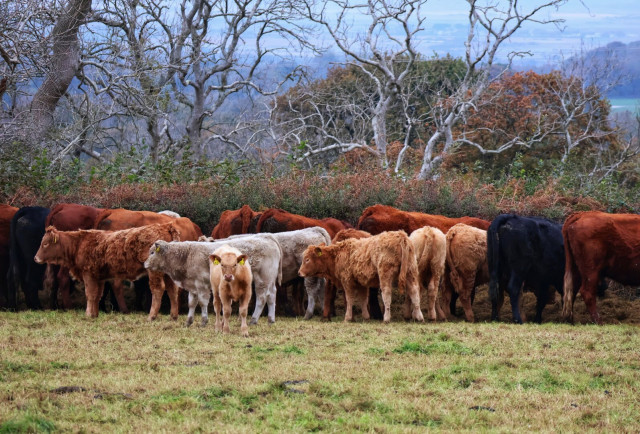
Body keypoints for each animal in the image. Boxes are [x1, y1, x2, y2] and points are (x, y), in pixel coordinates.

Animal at [34, 223, 182, 319]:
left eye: (45, 244)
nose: (36, 258)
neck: (79, 244)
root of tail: (166, 226)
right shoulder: (99, 277)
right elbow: (97, 295)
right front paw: (94, 314)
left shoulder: (88, 274)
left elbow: (90, 294)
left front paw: (88, 314)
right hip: (167, 273)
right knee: (172, 289)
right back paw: (173, 316)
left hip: (154, 272)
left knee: (158, 289)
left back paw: (152, 316)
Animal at [144, 235, 282, 326]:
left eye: (152, 252)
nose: (144, 264)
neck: (186, 256)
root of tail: (266, 237)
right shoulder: (193, 286)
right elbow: (192, 303)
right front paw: (189, 321)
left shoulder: (201, 285)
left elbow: (202, 303)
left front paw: (203, 321)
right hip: (270, 280)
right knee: (272, 296)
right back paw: (271, 319)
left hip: (262, 279)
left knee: (262, 298)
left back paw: (253, 320)